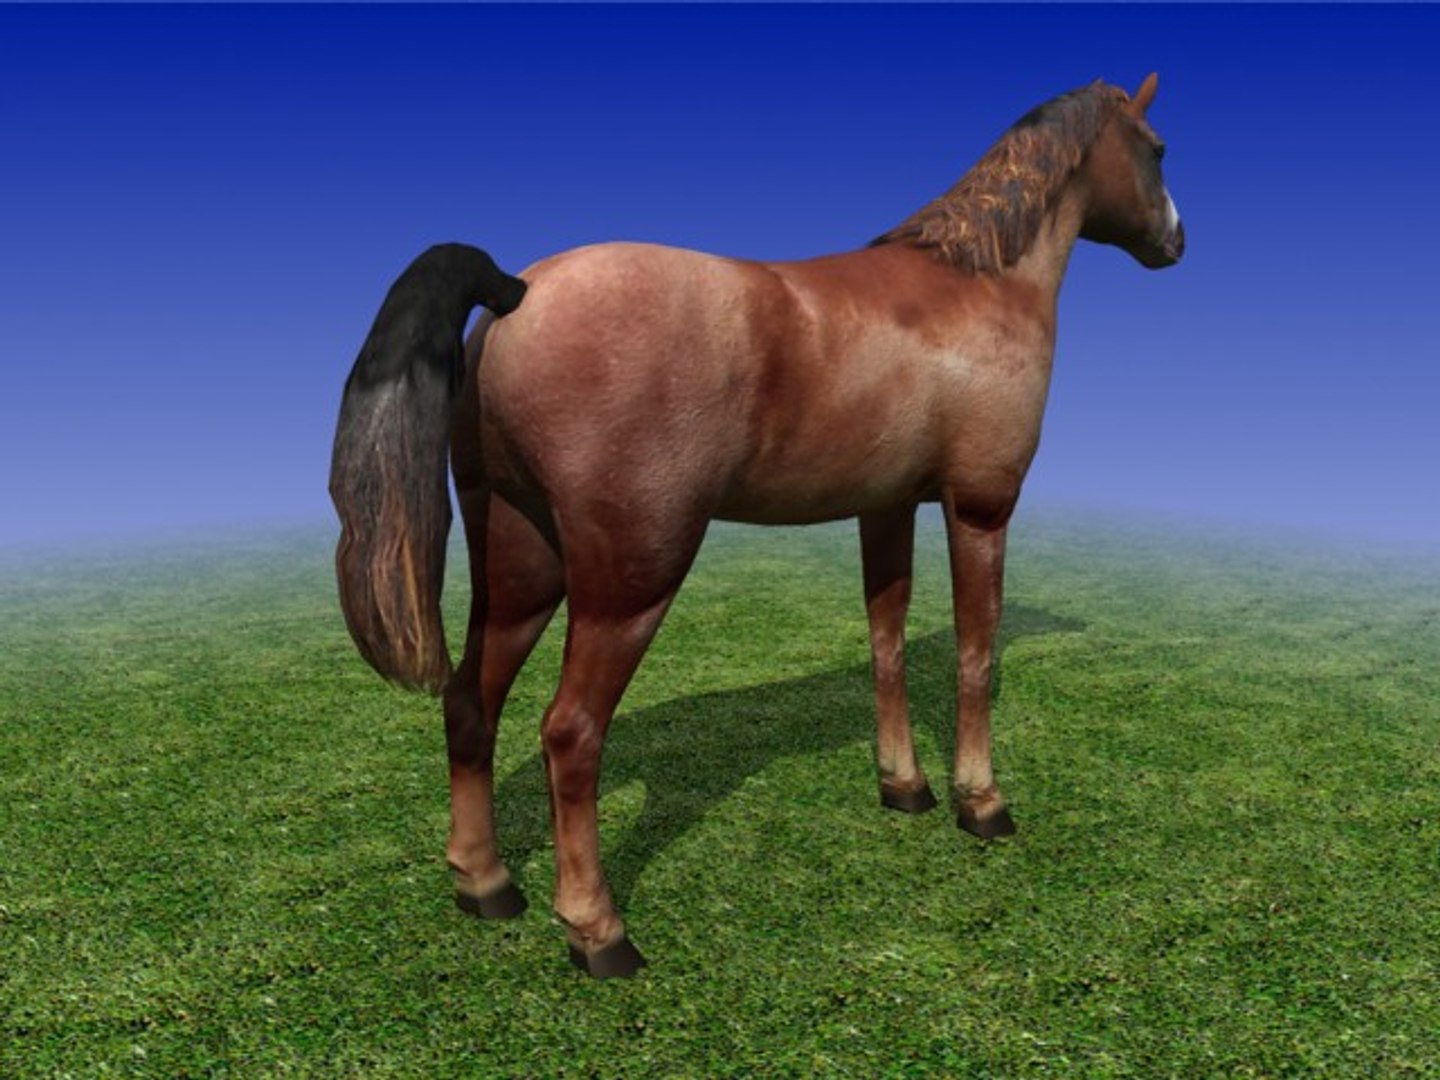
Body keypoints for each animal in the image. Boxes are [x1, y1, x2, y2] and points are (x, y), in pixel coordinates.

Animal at [330, 73, 1184, 978]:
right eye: (1157, 148)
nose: (1176, 239)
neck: (974, 284)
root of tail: (521, 294)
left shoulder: (884, 508)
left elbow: (886, 646)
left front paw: (904, 788)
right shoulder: (982, 505)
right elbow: (974, 655)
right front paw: (981, 803)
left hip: (522, 564)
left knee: (470, 703)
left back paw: (486, 885)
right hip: (631, 581)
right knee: (570, 733)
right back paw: (599, 933)